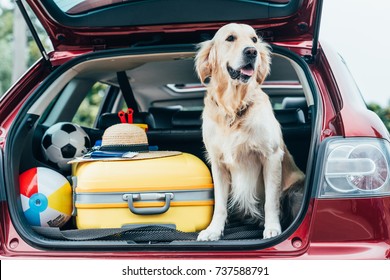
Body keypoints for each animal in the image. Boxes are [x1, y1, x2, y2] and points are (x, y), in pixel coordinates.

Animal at [195, 23, 304, 241]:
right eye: (230, 38)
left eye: (254, 39)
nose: (252, 52)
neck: (233, 107)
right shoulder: (218, 163)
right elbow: (220, 204)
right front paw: (213, 230)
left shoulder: (271, 156)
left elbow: (271, 201)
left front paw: (272, 228)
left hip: (295, 190)